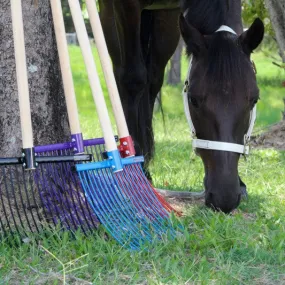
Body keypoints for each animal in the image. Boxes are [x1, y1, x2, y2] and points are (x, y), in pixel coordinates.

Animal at [97, 0, 262, 213]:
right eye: (193, 100)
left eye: (254, 100)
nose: (225, 197)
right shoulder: (123, 7)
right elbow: (132, 79)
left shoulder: (170, 15)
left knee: (153, 78)